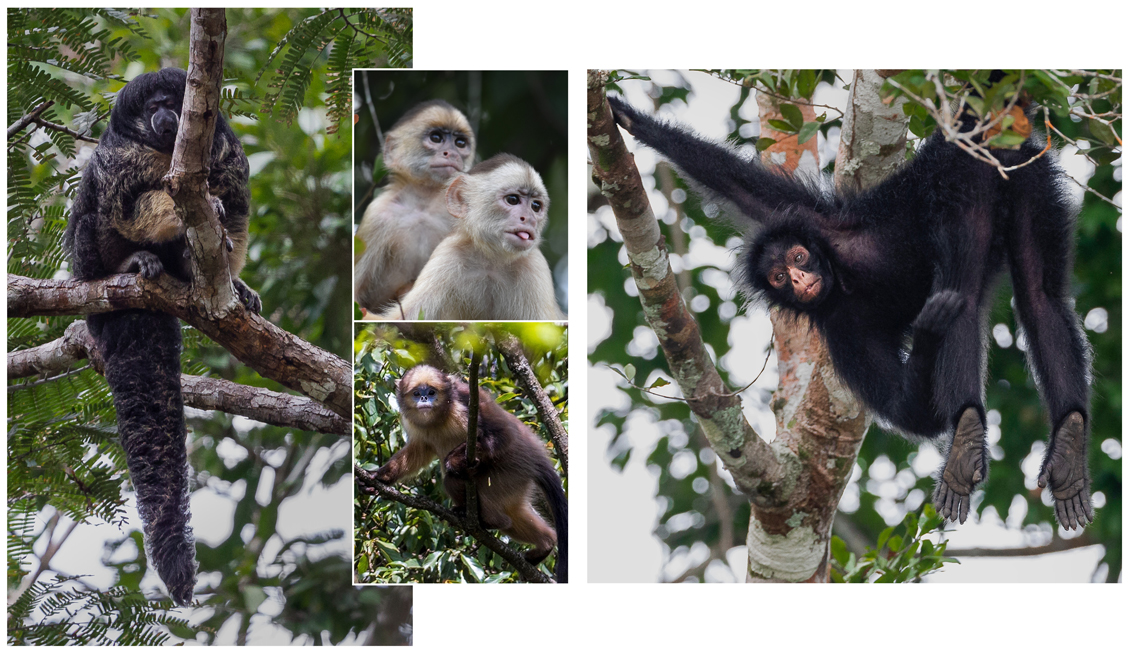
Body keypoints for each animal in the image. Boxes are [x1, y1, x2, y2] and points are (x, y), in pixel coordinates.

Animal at [64, 68, 258, 601]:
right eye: (151, 106)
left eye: (172, 101)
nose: (163, 116)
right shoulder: (120, 158)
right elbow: (129, 204)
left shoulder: (228, 155)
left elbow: (235, 210)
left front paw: (234, 280)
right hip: (85, 259)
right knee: (95, 217)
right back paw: (132, 264)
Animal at [376, 364, 567, 583]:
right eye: (416, 393)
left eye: (431, 392)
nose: (424, 398)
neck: (439, 418)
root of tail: (534, 455)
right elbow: (418, 451)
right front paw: (382, 477)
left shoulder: (468, 399)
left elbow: (503, 434)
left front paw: (454, 460)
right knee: (514, 514)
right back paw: (545, 544)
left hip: (507, 472)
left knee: (454, 480)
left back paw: (490, 518)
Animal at [380, 153, 563, 321]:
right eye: (513, 199)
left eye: (535, 206)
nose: (530, 219)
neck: (491, 263)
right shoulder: (448, 254)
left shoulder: (535, 266)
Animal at [606, 80, 1094, 528]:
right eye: (779, 276)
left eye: (798, 258)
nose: (800, 280)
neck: (845, 280)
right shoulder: (843, 331)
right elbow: (909, 412)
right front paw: (927, 336)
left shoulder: (820, 222)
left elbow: (733, 180)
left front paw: (627, 118)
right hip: (1027, 177)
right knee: (1037, 298)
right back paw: (1054, 441)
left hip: (968, 180)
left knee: (975, 292)